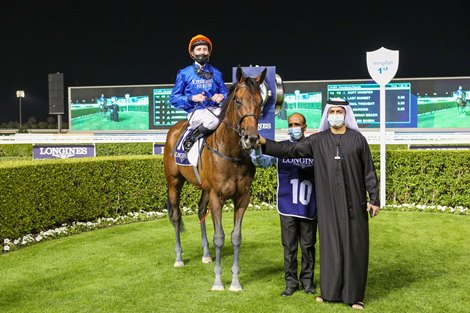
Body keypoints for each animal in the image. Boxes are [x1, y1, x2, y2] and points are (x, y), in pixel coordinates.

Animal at [164, 66, 268, 290]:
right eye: (237, 100)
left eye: (260, 101)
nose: (251, 138)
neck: (231, 153)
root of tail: (175, 128)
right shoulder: (217, 196)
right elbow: (219, 237)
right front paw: (219, 281)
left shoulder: (242, 198)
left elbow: (236, 237)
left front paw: (235, 282)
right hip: (174, 183)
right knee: (176, 216)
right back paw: (179, 258)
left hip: (204, 188)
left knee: (201, 211)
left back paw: (205, 255)